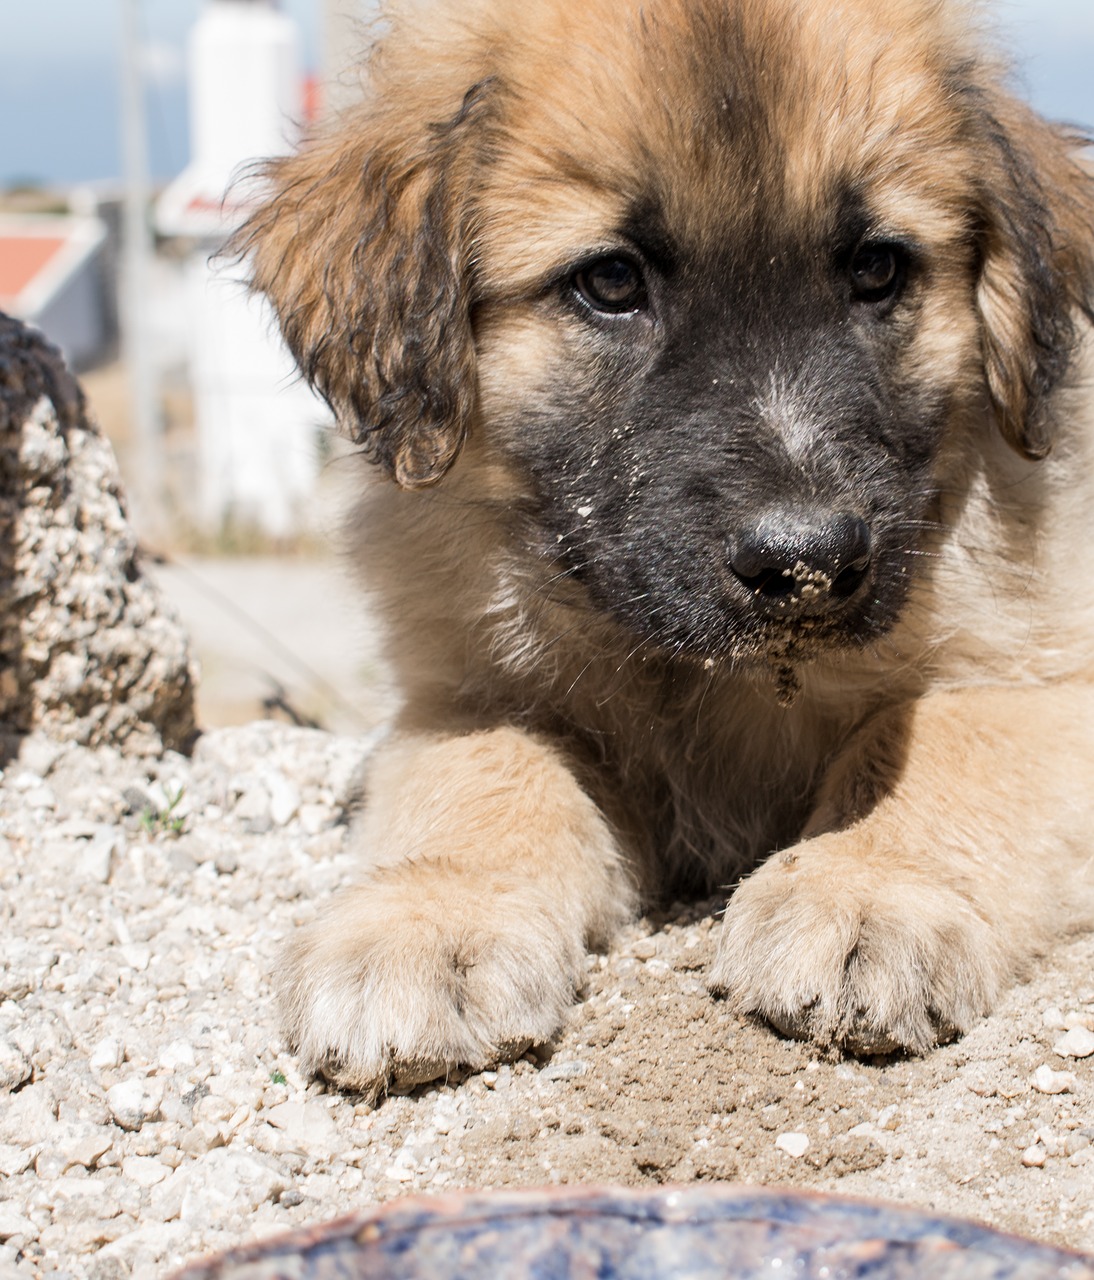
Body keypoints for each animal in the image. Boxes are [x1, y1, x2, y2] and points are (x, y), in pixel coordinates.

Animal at [237, 0, 1094, 1090]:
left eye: (877, 268)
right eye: (610, 281)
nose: (806, 562)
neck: (706, 679)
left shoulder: (1045, 675)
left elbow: (946, 737)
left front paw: (869, 885)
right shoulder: (461, 693)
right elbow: (483, 771)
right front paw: (428, 918)